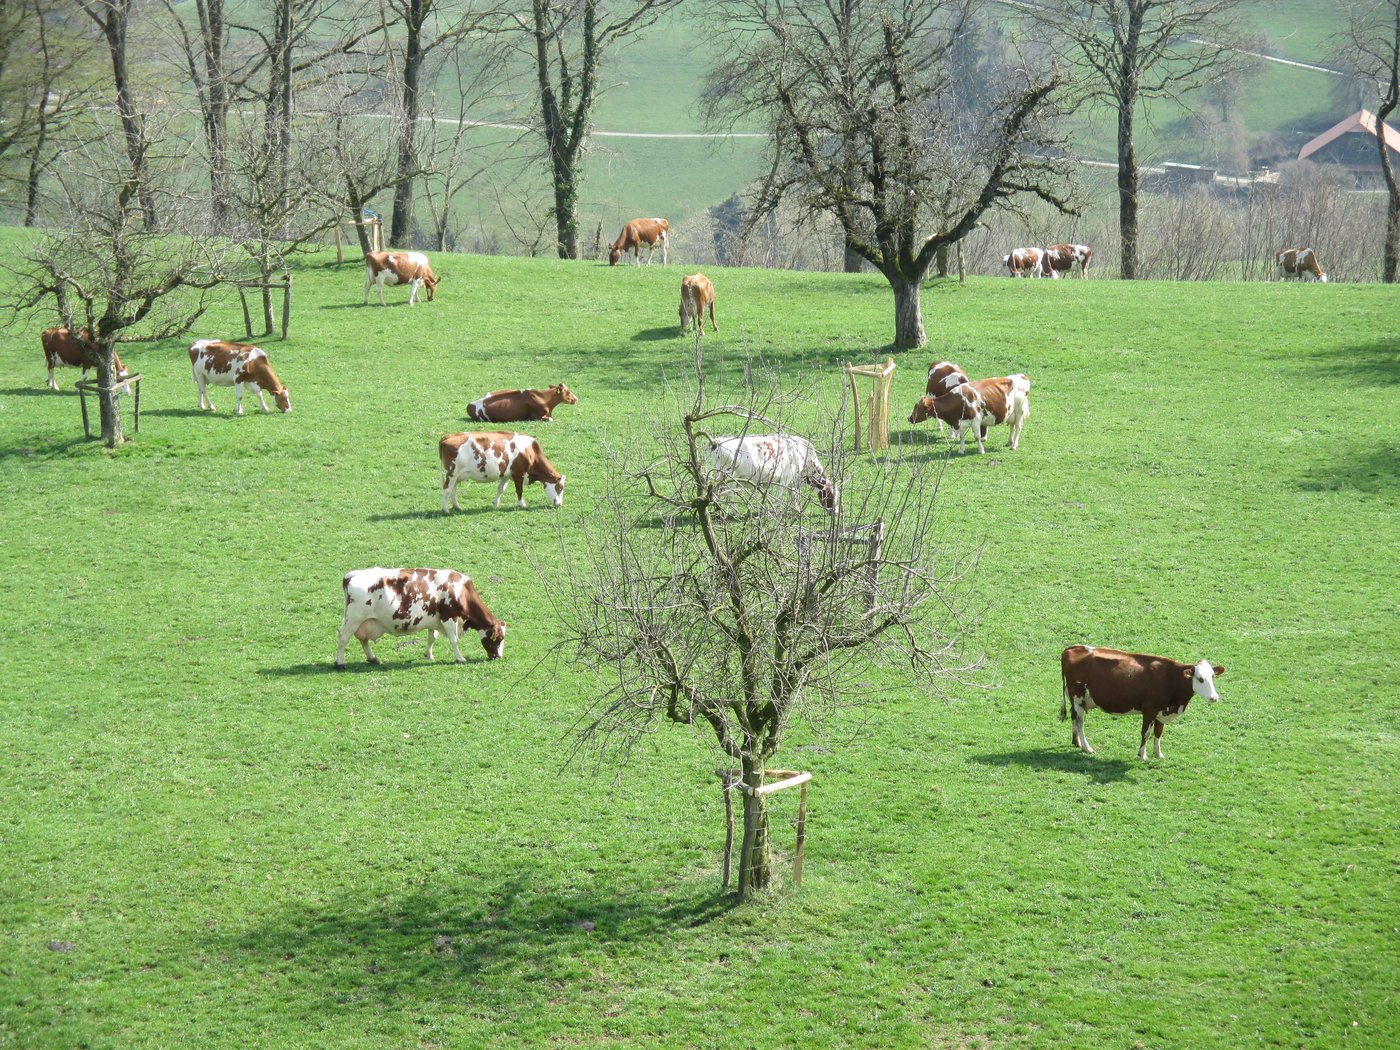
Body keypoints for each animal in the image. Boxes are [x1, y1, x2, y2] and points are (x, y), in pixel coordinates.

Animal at [335, 567, 506, 669]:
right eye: (498, 639)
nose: (498, 657)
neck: (461, 590)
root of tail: (351, 575)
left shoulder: (434, 618)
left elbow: (432, 637)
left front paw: (428, 655)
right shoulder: (449, 617)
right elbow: (454, 640)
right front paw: (460, 658)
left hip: (362, 621)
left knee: (362, 639)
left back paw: (373, 658)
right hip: (354, 618)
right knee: (343, 637)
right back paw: (340, 663)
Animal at [709, 434, 838, 515]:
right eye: (830, 495)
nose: (835, 512)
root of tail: (718, 441)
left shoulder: (793, 481)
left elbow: (793, 495)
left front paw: (796, 509)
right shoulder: (786, 478)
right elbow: (779, 497)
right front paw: (774, 511)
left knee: (717, 493)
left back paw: (718, 512)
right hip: (730, 478)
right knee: (729, 497)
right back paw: (734, 512)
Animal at [1060, 645, 1226, 760]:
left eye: (1212, 676)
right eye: (1200, 679)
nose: (1214, 697)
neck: (1170, 679)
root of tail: (1072, 648)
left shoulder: (1161, 711)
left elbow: (1158, 732)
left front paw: (1158, 754)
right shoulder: (1149, 710)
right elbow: (1146, 733)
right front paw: (1143, 755)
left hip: (1077, 700)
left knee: (1073, 717)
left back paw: (1076, 742)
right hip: (1078, 698)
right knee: (1080, 722)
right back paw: (1086, 747)